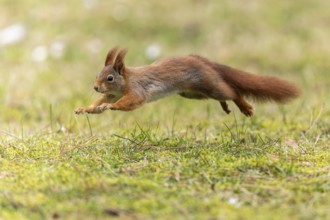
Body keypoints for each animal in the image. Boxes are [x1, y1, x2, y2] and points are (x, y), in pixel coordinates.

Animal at [74, 46, 300, 117]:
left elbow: (129, 102)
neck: (126, 81)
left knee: (232, 92)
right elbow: (97, 104)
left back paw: (244, 107)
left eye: (110, 77)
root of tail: (203, 61)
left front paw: (110, 107)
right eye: (97, 74)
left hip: (209, 85)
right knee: (220, 96)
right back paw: (225, 107)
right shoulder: (111, 93)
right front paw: (85, 109)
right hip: (193, 93)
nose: (95, 87)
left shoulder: (137, 91)